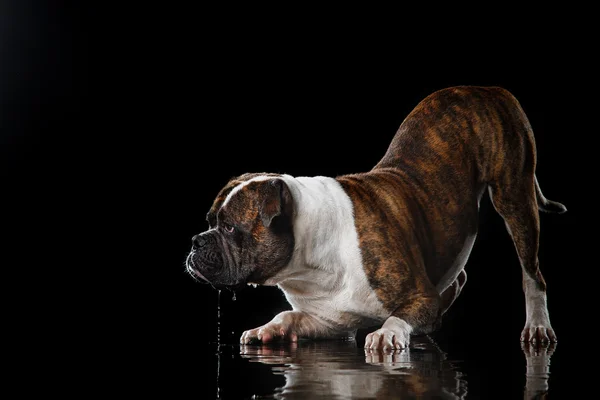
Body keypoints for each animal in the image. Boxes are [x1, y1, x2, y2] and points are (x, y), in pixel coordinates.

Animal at [185, 86, 564, 348]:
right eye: (209, 222)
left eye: (230, 227)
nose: (195, 241)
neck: (309, 261)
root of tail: (486, 88)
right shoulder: (329, 322)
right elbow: (288, 315)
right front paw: (268, 328)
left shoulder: (420, 299)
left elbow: (400, 316)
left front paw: (387, 334)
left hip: (515, 198)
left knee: (532, 274)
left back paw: (538, 326)